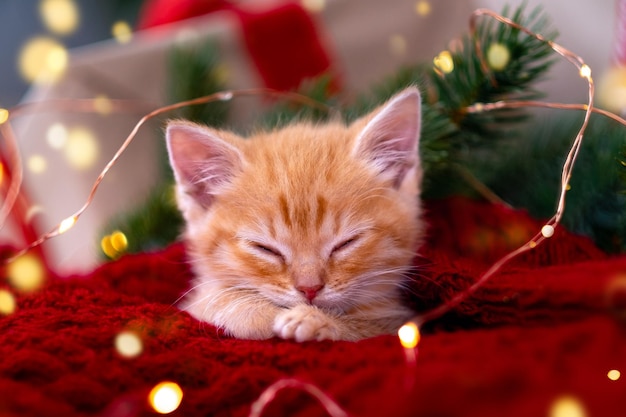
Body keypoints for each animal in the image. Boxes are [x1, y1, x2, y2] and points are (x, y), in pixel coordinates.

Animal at [166, 86, 422, 340]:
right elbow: (209, 298)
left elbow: (366, 329)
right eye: (265, 249)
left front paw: (316, 321)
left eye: (346, 243)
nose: (309, 289)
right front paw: (256, 313)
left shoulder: (395, 322)